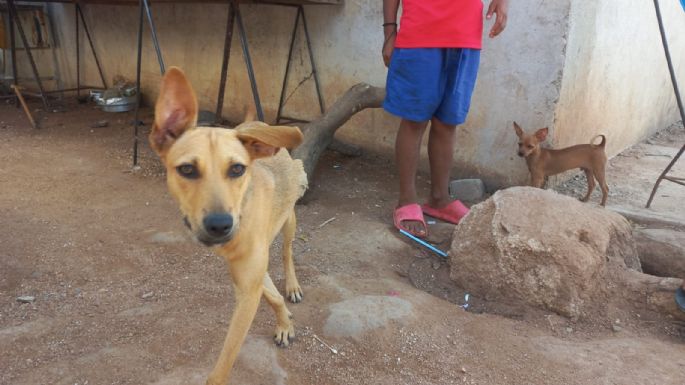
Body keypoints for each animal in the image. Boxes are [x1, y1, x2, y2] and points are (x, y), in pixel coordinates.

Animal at [151, 67, 308, 382]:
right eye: (187, 169)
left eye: (237, 169)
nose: (220, 225)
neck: (241, 212)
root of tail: (256, 123)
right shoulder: (247, 279)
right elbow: (270, 295)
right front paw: (285, 322)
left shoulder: (249, 283)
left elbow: (221, 367)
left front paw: (285, 320)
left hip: (289, 216)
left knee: (287, 251)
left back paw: (292, 284)